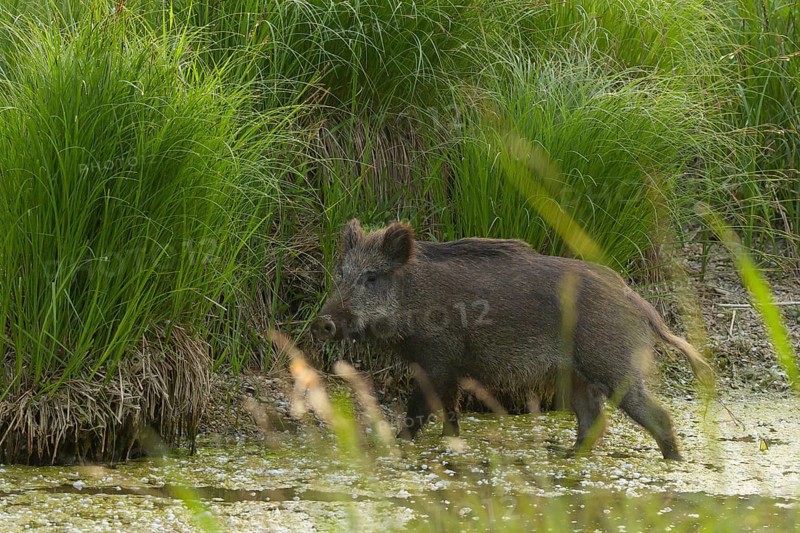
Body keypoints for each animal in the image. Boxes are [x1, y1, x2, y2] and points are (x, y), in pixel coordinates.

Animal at [312, 219, 713, 460]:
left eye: (371, 277)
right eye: (341, 273)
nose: (323, 323)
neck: (416, 294)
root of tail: (638, 301)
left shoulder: (438, 358)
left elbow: (419, 410)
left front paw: (399, 445)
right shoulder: (449, 367)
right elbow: (450, 412)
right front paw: (449, 442)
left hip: (612, 363)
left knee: (657, 415)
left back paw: (673, 462)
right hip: (576, 376)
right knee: (593, 420)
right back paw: (569, 457)